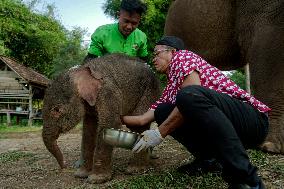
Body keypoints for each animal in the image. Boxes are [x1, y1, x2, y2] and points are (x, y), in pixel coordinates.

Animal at [43, 54, 161, 184]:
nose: (64, 166)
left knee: (138, 124)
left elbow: (110, 124)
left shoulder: (107, 92)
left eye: (57, 110)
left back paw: (135, 169)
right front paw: (81, 174)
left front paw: (96, 179)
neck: (81, 71)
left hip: (149, 91)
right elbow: (89, 129)